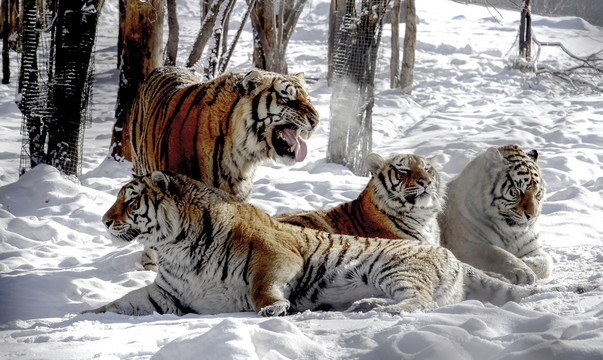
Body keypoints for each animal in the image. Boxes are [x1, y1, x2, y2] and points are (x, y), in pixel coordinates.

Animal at [81, 170, 588, 316]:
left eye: (129, 199)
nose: (105, 219)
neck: (174, 248)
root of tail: (447, 253)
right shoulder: (167, 294)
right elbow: (124, 302)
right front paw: (87, 314)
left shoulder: (277, 255)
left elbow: (261, 285)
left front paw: (272, 310)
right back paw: (365, 307)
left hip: (395, 270)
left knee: (419, 303)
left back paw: (374, 310)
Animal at [436, 145, 556, 286]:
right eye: (518, 191)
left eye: (537, 193)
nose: (532, 215)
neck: (511, 233)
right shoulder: (465, 244)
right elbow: (498, 254)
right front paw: (523, 272)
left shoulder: (533, 249)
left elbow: (547, 262)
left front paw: (526, 262)